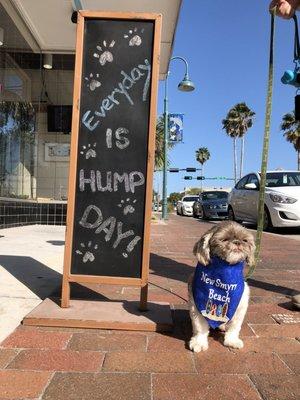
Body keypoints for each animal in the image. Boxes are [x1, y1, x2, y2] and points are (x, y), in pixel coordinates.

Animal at [189, 222, 254, 354]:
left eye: (245, 240)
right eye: (224, 239)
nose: (237, 242)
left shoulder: (240, 307)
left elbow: (234, 327)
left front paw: (232, 341)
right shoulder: (196, 308)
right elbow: (200, 328)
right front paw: (199, 342)